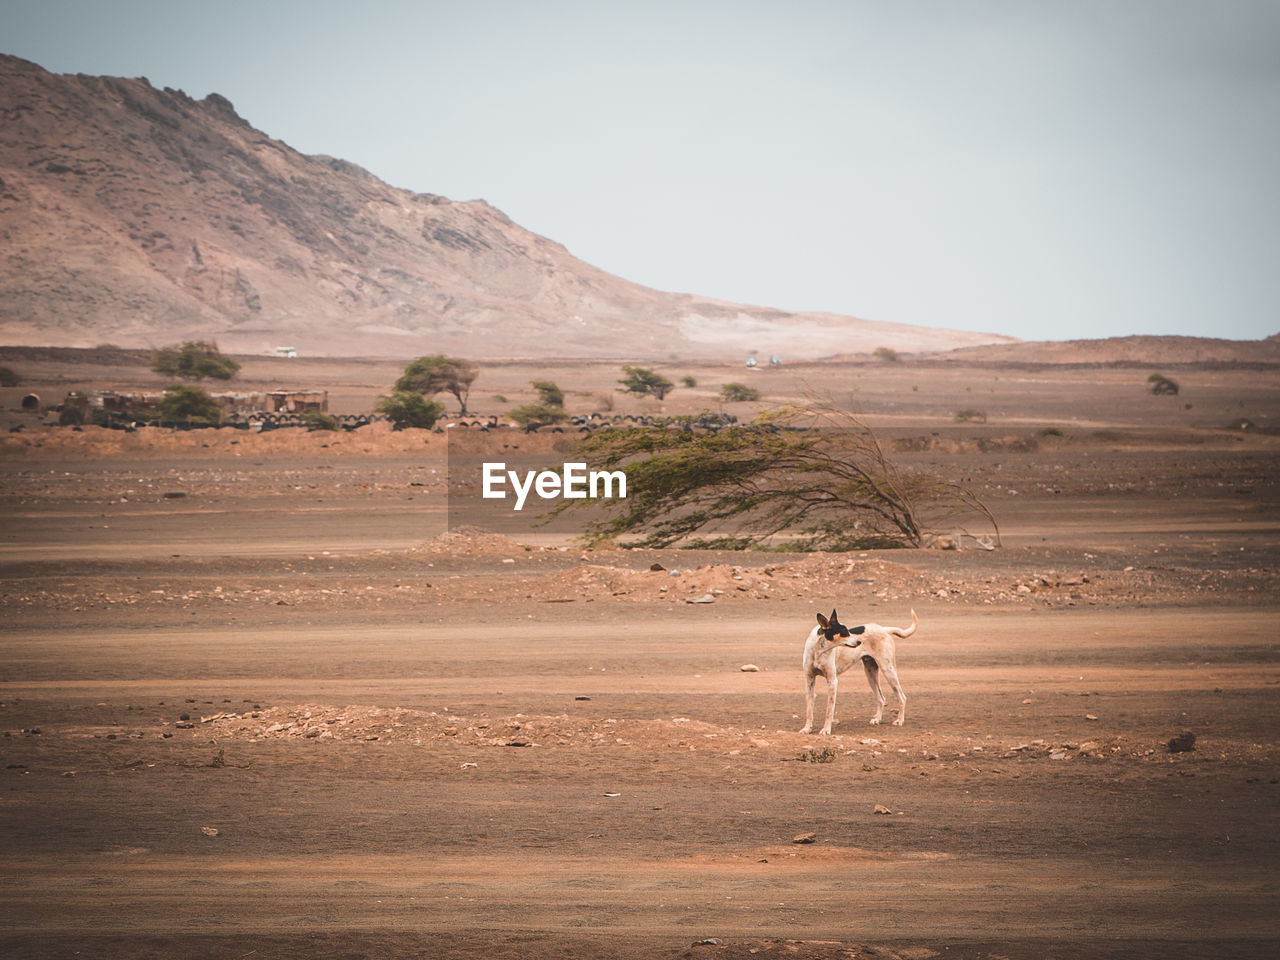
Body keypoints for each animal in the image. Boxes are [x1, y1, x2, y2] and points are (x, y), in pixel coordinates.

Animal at [793, 609, 916, 737]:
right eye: (844, 632)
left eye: (848, 630)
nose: (859, 641)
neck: (819, 651)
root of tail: (883, 629)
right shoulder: (809, 680)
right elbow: (809, 710)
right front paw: (807, 728)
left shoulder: (832, 681)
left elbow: (829, 710)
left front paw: (826, 730)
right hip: (870, 674)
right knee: (881, 698)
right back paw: (877, 719)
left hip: (888, 670)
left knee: (902, 697)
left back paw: (899, 720)